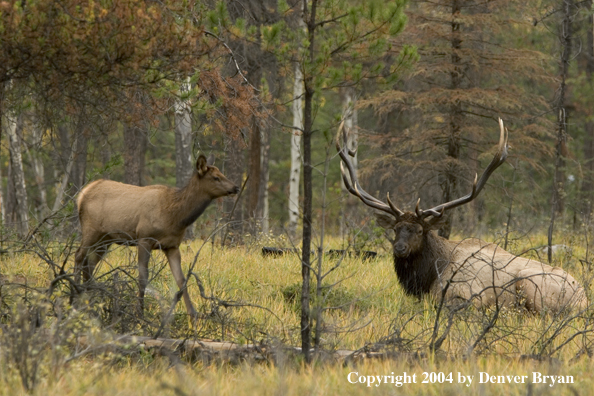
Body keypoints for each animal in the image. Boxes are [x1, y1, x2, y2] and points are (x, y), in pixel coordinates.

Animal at [74, 155, 238, 318]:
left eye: (222, 174)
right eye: (216, 177)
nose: (235, 187)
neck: (176, 217)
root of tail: (82, 194)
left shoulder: (172, 246)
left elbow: (181, 279)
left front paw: (192, 314)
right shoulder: (144, 238)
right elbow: (143, 277)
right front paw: (140, 314)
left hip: (106, 238)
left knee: (89, 264)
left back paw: (89, 299)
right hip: (91, 230)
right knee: (79, 256)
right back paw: (76, 293)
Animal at [336, 119, 584, 314]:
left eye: (420, 230)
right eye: (396, 229)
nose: (399, 248)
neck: (430, 275)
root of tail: (582, 295)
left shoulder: (466, 294)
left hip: (529, 285)